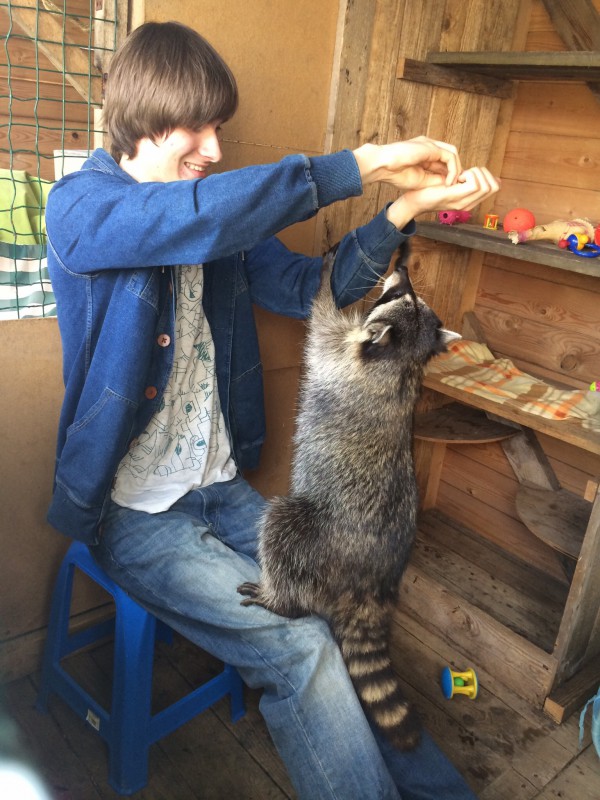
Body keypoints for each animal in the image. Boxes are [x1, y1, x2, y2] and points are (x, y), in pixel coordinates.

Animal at [238, 241, 460, 750]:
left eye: (403, 295)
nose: (402, 266)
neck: (405, 360)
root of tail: (372, 586)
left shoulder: (341, 354)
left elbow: (320, 324)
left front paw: (324, 281)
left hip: (315, 535)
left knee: (283, 529)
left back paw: (281, 597)